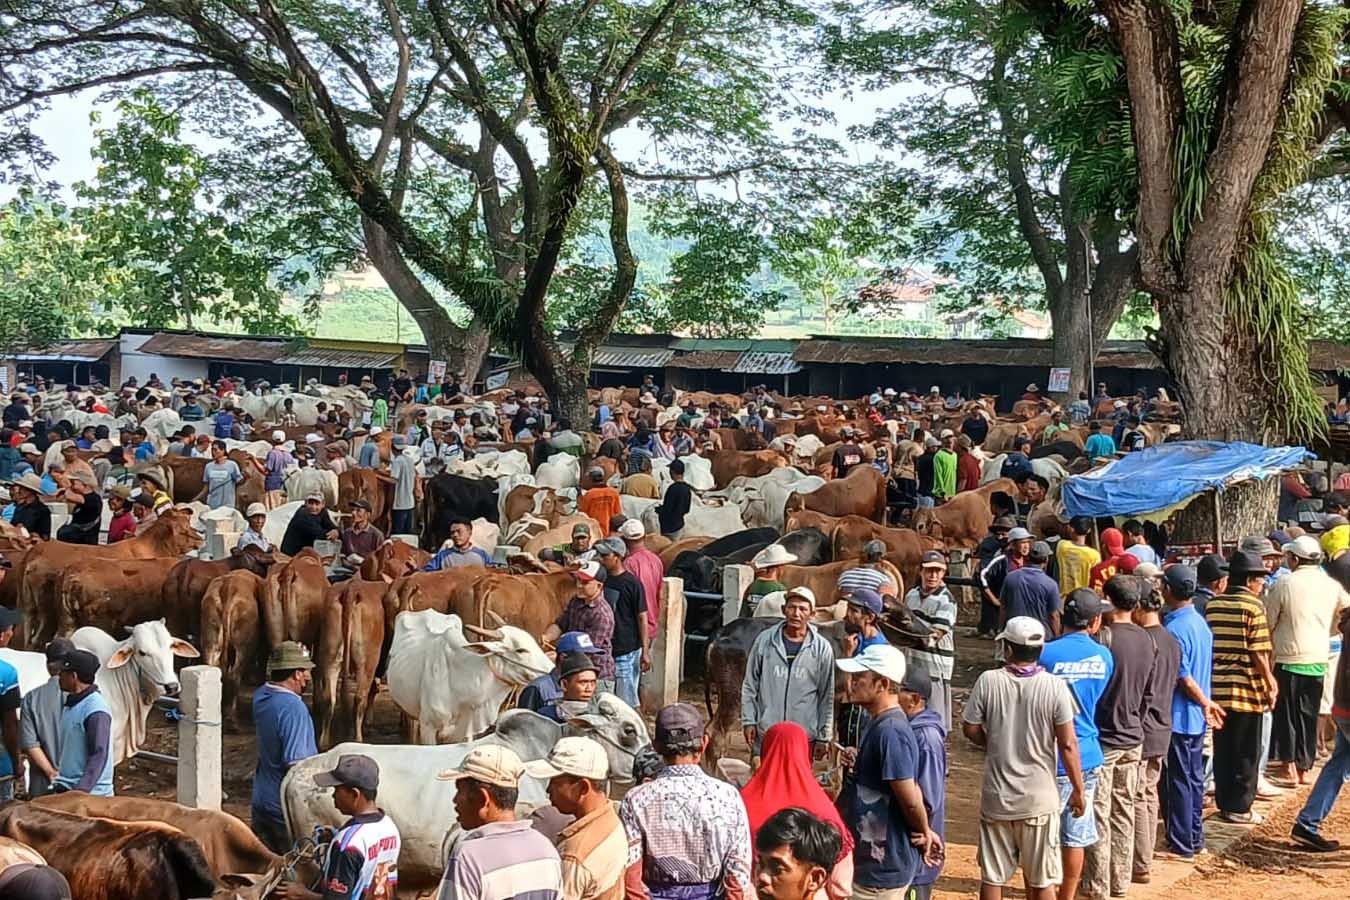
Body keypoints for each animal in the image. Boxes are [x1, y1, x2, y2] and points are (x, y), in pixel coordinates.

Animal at [312, 578, 387, 749]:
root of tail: (351, 588)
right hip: (367, 661)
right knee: (359, 698)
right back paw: (358, 739)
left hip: (330, 654)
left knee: (330, 698)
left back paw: (324, 742)